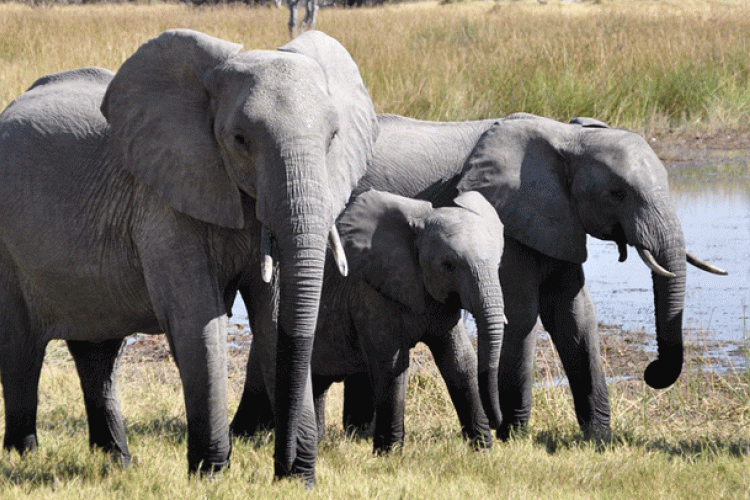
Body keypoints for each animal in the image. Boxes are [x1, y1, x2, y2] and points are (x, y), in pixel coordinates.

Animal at [0, 29, 377, 485]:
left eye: (333, 137)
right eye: (239, 139)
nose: (286, 467)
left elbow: (272, 320)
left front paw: (297, 479)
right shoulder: (162, 201)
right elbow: (197, 320)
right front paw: (210, 475)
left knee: (98, 353)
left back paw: (118, 461)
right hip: (7, 250)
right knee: (21, 347)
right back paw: (25, 456)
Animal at [231, 189, 505, 453]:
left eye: (498, 262)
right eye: (448, 265)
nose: (497, 423)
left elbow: (459, 361)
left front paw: (483, 449)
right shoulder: (369, 294)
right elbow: (391, 364)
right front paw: (389, 453)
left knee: (316, 383)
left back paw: (312, 440)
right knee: (260, 382)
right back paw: (242, 437)